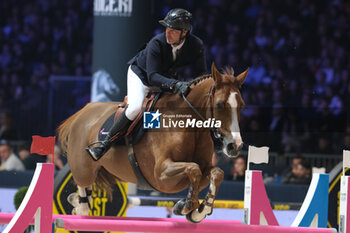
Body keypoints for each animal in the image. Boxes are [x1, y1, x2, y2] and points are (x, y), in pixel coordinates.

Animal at [57, 62, 249, 223]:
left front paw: (199, 211)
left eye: (242, 105)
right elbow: (193, 169)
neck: (189, 127)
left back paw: (75, 200)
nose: (235, 146)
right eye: (219, 104)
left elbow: (217, 173)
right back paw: (79, 204)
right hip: (84, 168)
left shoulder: (203, 168)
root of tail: (82, 112)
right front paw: (187, 206)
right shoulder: (161, 174)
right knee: (83, 188)